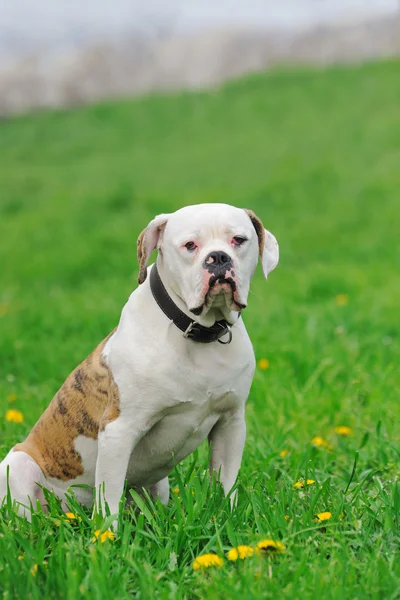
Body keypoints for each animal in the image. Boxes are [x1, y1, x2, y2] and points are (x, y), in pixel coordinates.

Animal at [0, 203, 278, 520]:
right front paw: (106, 533)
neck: (196, 332)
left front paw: (227, 516)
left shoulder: (231, 423)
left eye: (238, 240)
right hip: (18, 467)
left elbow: (226, 482)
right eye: (190, 245)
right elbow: (108, 501)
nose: (218, 257)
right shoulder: (119, 430)